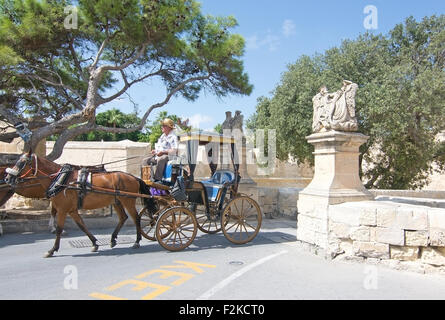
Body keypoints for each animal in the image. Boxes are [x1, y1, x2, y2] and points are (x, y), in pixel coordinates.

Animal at [4, 150, 154, 258]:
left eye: (23, 162)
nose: (7, 178)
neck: (61, 179)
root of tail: (134, 177)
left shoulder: (63, 210)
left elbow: (59, 229)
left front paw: (52, 250)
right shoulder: (71, 210)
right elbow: (82, 225)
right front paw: (94, 243)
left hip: (128, 201)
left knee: (136, 218)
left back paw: (137, 241)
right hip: (116, 201)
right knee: (123, 217)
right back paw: (113, 239)